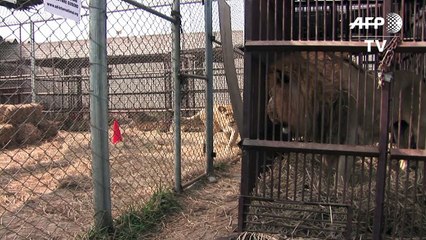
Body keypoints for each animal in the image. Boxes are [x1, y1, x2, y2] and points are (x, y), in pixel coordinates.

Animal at [268, 52, 424, 184]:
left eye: (274, 93)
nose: (268, 112)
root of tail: (420, 78)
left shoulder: (349, 133)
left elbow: (343, 167)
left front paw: (339, 191)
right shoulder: (327, 133)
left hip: (419, 126)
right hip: (399, 127)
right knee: (405, 149)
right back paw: (403, 172)